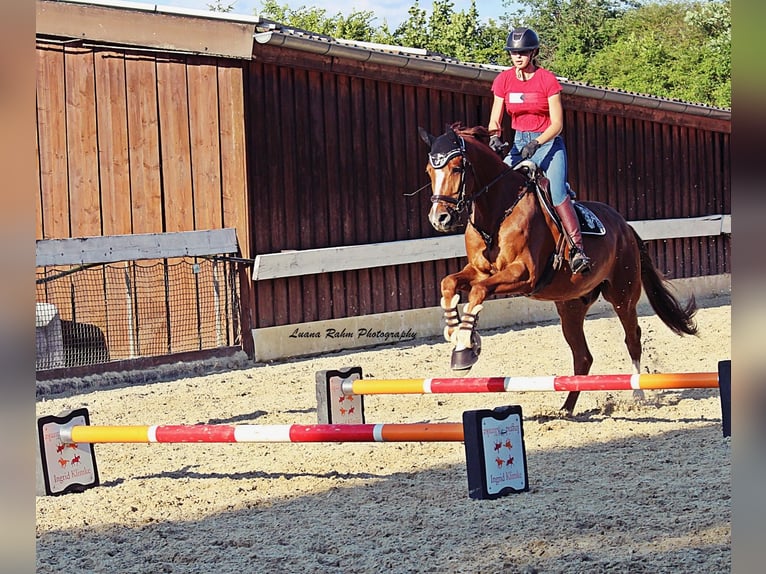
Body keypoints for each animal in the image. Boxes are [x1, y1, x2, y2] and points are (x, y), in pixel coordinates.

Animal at [416, 125, 700, 414]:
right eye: (429, 171)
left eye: (457, 168)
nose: (439, 218)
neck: (498, 213)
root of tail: (626, 227)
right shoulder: (480, 270)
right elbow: (449, 283)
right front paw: (456, 333)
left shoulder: (524, 275)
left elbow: (478, 291)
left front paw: (465, 347)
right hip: (570, 305)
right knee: (583, 356)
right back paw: (566, 408)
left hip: (622, 295)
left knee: (633, 339)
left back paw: (637, 395)